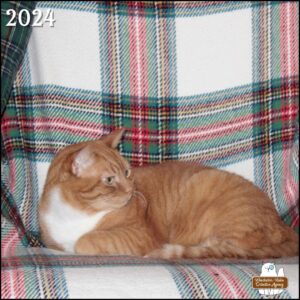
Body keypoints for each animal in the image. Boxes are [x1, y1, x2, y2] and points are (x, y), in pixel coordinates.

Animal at [38, 127, 298, 258]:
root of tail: (283, 224)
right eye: (110, 180)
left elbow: (85, 240)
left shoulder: (140, 235)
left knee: (229, 248)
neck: (74, 214)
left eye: (127, 172)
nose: (131, 189)